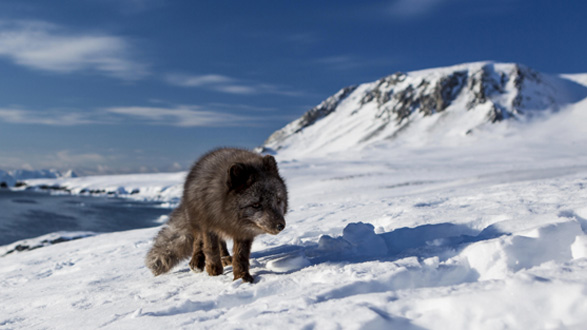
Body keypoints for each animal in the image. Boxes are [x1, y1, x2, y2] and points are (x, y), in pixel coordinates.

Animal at [145, 148, 288, 282]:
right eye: (256, 204)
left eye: (278, 200)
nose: (281, 226)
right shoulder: (208, 224)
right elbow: (211, 249)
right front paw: (214, 272)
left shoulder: (243, 231)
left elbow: (241, 255)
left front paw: (241, 277)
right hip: (197, 220)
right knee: (198, 242)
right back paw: (197, 262)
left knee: (222, 243)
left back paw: (225, 258)